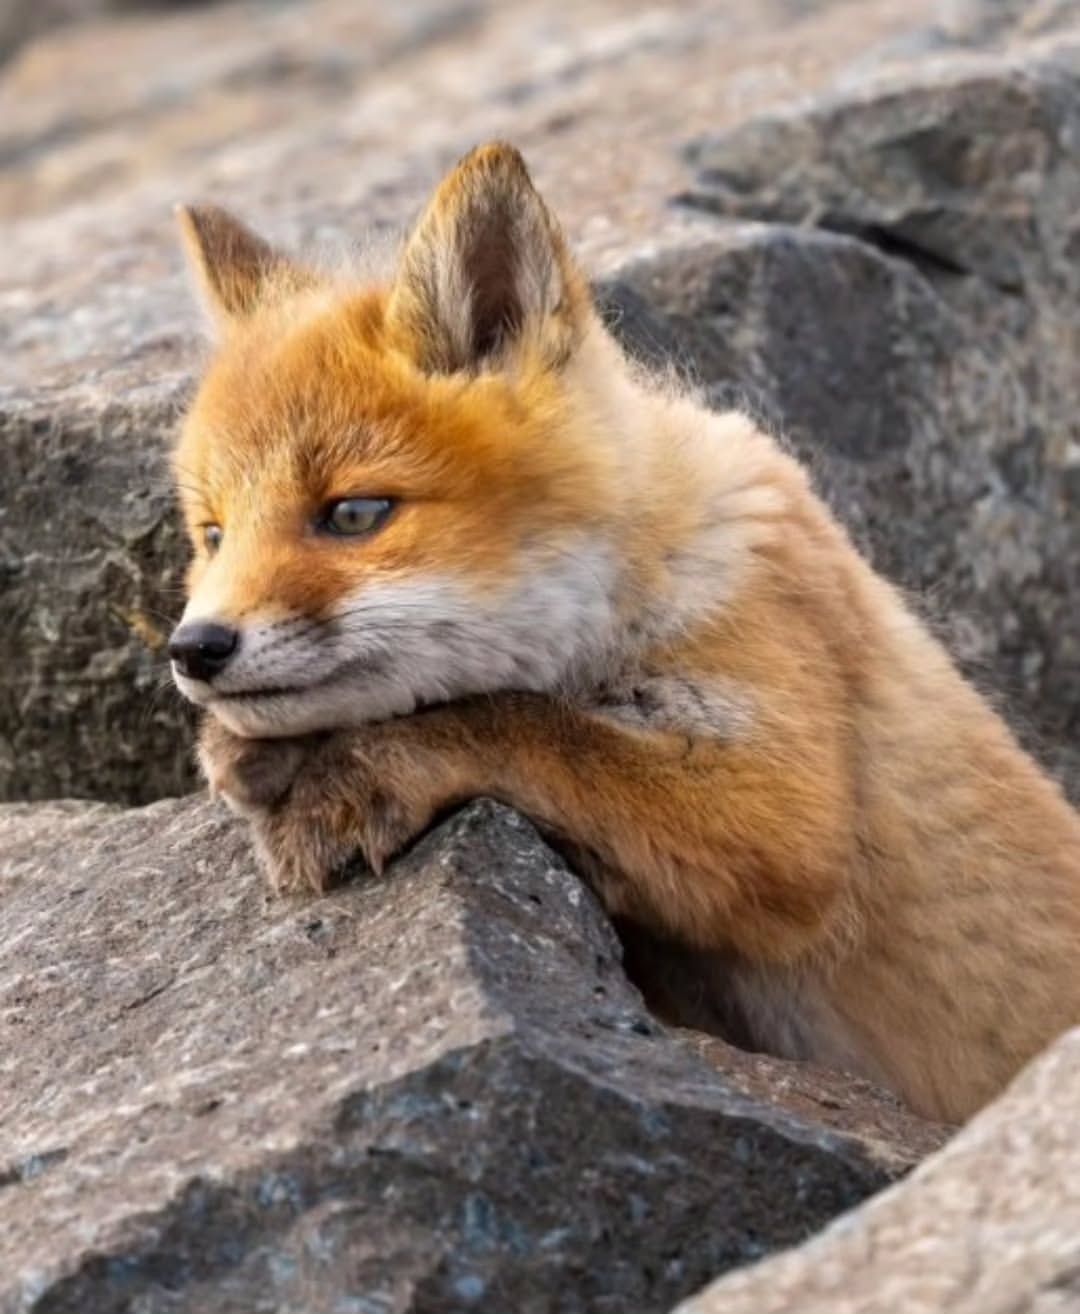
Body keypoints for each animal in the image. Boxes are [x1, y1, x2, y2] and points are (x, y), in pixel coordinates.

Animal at [168, 142, 1080, 1125]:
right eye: (213, 534)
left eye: (354, 514)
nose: (195, 649)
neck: (647, 569)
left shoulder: (784, 808)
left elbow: (525, 722)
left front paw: (354, 772)